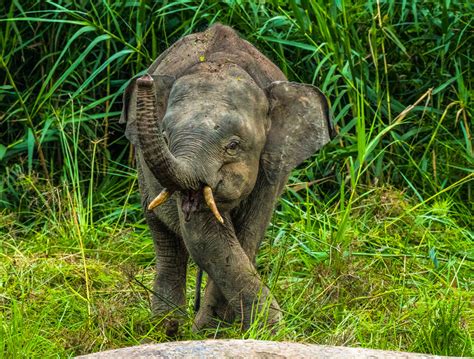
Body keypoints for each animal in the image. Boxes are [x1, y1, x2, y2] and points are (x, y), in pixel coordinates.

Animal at [119, 24, 334, 334]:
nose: (145, 80)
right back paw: (166, 327)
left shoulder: (272, 168)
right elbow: (208, 237)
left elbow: (247, 235)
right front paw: (225, 330)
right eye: (165, 138)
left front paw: (241, 329)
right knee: (164, 238)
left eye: (233, 146)